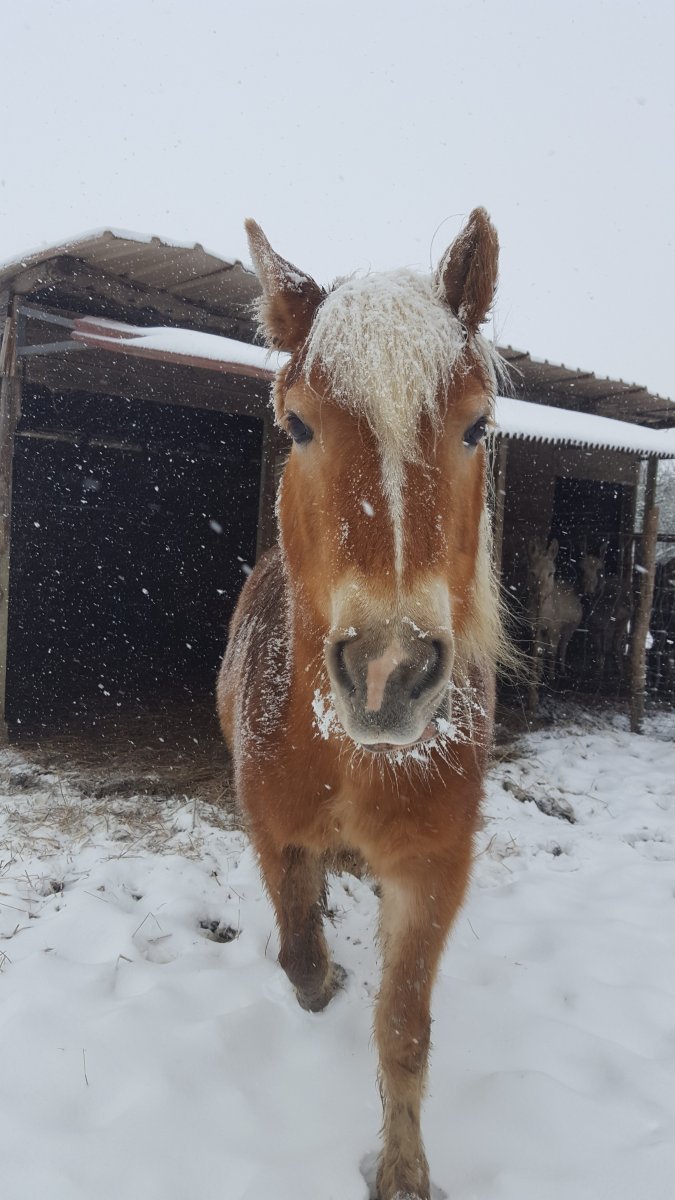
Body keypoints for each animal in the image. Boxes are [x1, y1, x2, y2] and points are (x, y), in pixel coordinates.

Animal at [213, 208, 504, 1200]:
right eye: (297, 424)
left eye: (477, 426)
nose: (387, 670)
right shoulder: (273, 834)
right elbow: (302, 959)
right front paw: (326, 982)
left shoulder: (435, 867)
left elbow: (405, 1029)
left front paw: (403, 1172)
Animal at [523, 537, 581, 710]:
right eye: (532, 573)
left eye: (551, 573)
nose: (540, 597)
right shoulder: (535, 630)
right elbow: (536, 654)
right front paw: (533, 689)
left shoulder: (554, 630)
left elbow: (552, 652)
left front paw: (550, 679)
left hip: (569, 629)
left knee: (562, 647)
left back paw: (560, 671)